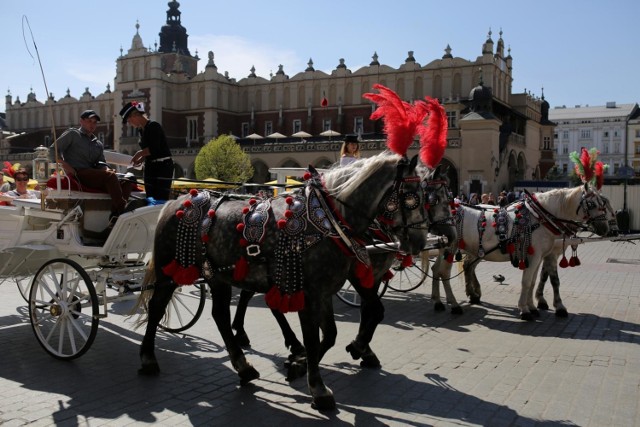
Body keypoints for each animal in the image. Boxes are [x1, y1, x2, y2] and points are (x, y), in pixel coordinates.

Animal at [430, 185, 616, 320]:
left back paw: (440, 301)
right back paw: (455, 305)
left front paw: (534, 307)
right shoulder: (536, 256)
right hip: (450, 248)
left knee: (439, 270)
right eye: (592, 204)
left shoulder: (540, 257)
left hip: (453, 249)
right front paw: (525, 310)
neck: (540, 218)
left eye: (603, 204)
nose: (607, 229)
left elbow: (534, 281)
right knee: (444, 273)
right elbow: (528, 282)